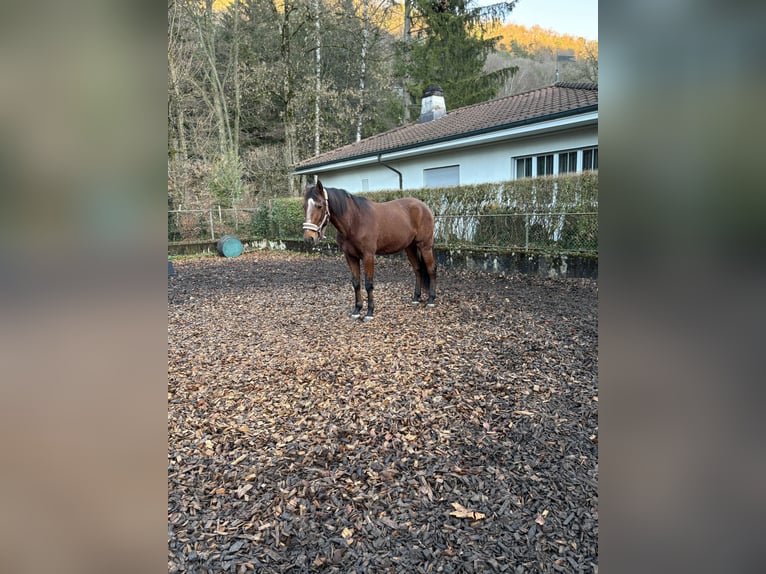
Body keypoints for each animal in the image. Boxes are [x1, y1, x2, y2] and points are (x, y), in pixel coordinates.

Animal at [304, 180, 438, 322]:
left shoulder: (368, 256)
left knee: (431, 269)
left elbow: (368, 283)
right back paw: (416, 298)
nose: (309, 238)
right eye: (304, 206)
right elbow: (356, 282)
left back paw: (431, 300)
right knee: (417, 269)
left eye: (319, 206)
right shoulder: (350, 256)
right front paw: (357, 311)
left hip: (425, 246)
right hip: (410, 247)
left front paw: (369, 313)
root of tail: (423, 206)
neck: (354, 221)